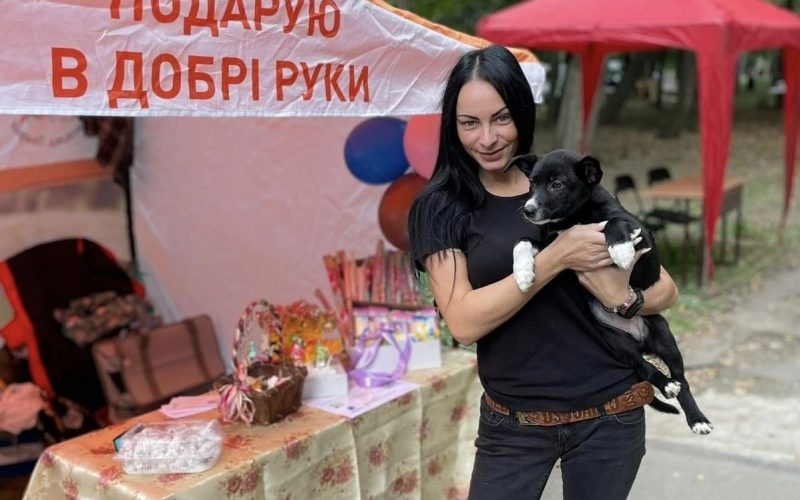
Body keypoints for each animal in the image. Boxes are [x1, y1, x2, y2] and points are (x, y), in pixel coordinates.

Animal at [507, 149, 712, 434]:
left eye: (556, 184)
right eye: (531, 184)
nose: (528, 210)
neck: (576, 218)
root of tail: (639, 340)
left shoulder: (643, 237)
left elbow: (613, 221)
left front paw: (621, 250)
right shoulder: (557, 244)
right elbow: (522, 240)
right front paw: (523, 274)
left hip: (664, 336)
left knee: (682, 380)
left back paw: (697, 418)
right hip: (616, 342)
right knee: (645, 368)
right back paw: (665, 384)